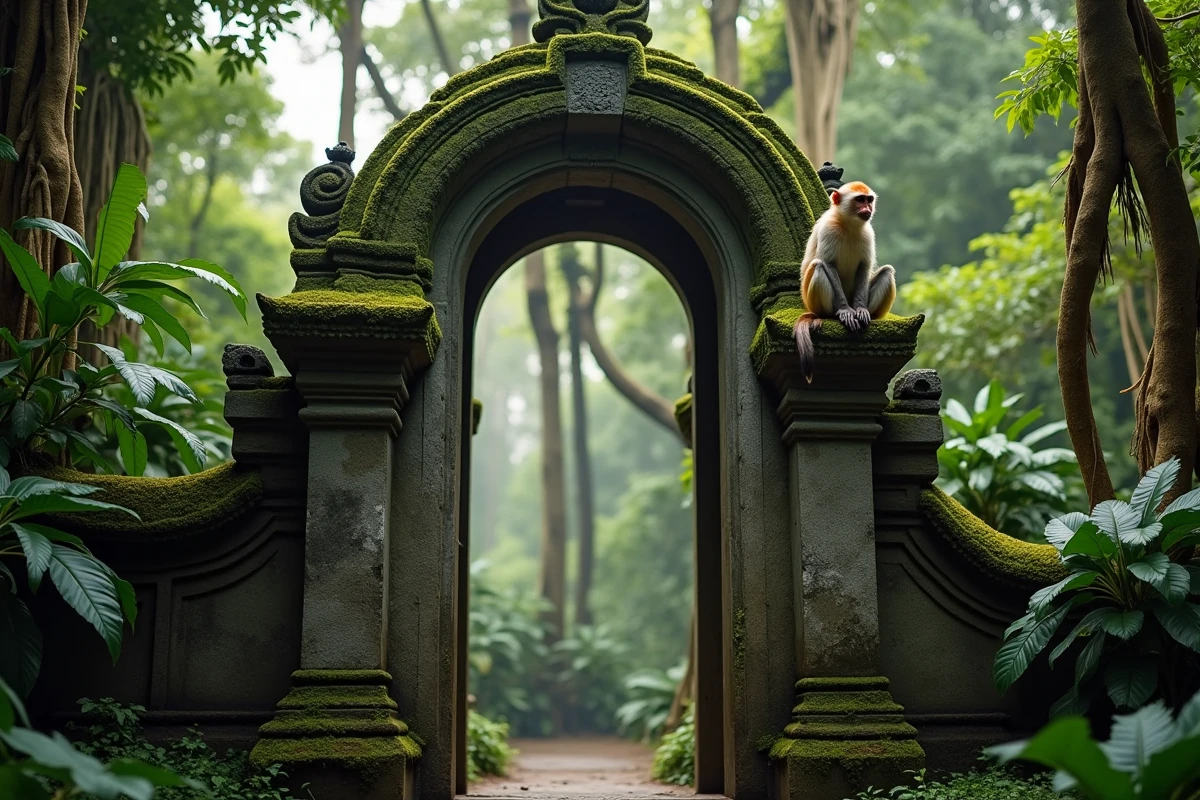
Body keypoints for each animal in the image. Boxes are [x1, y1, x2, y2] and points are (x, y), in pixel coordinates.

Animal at [793, 181, 896, 382]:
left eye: (869, 200)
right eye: (860, 200)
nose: (868, 208)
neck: (849, 226)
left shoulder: (868, 233)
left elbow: (864, 267)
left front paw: (860, 309)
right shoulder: (828, 230)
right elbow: (828, 264)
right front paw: (845, 311)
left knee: (887, 272)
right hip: (814, 303)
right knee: (818, 266)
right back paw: (830, 315)